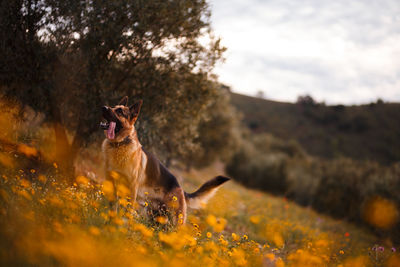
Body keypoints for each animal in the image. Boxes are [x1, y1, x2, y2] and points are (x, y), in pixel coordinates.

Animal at [101, 97, 228, 225]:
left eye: (120, 112)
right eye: (113, 107)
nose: (103, 107)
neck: (118, 145)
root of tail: (181, 189)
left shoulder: (131, 189)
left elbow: (127, 209)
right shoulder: (111, 184)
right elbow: (112, 207)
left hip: (175, 221)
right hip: (156, 217)